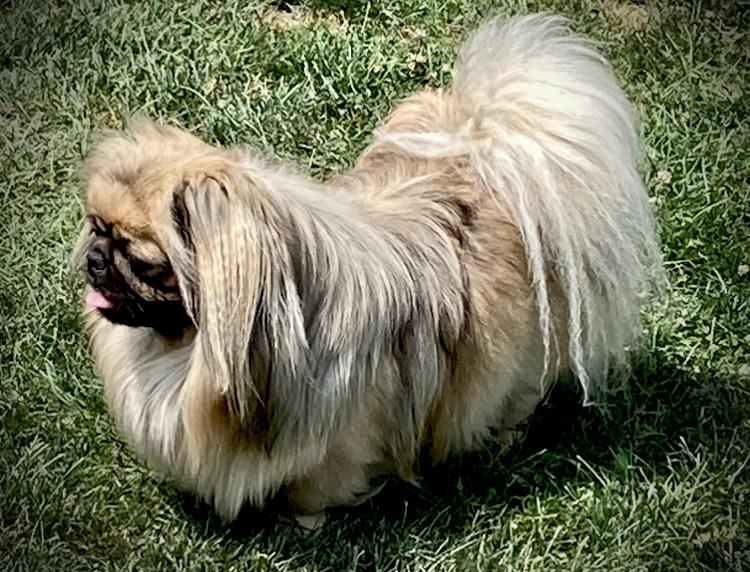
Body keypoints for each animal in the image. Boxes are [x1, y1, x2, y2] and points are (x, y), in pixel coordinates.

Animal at [75, 14, 661, 528]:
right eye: (96, 227)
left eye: (143, 262)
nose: (95, 259)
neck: (189, 351)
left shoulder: (336, 444)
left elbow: (317, 483)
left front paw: (304, 521)